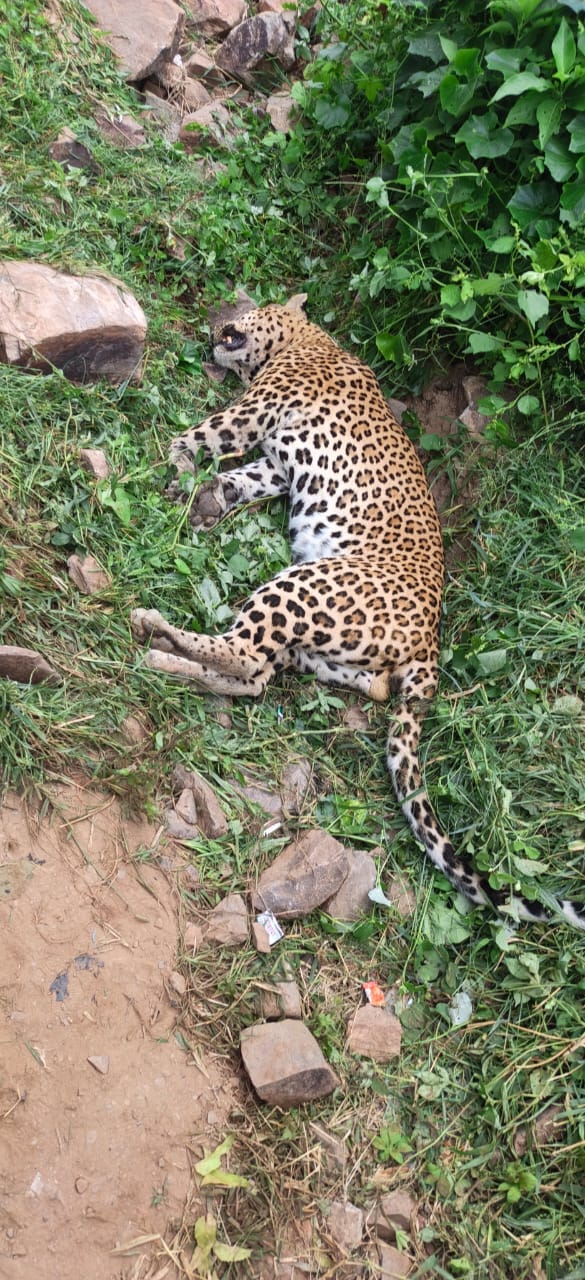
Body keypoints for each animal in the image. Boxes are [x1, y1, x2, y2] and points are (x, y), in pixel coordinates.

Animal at [132, 294, 585, 931]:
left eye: (249, 308)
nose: (213, 334)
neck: (304, 338)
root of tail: (432, 643)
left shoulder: (253, 412)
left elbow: (200, 434)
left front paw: (175, 468)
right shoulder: (275, 463)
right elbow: (243, 476)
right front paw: (209, 498)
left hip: (304, 586)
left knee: (245, 656)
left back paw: (158, 634)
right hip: (321, 637)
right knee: (267, 675)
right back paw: (165, 659)